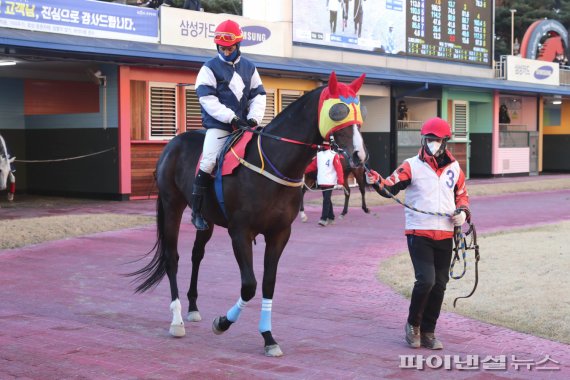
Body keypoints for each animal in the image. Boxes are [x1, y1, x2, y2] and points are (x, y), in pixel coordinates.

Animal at [129, 72, 366, 358]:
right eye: (338, 112)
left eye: (358, 112)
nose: (359, 155)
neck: (273, 163)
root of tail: (172, 143)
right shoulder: (240, 232)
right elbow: (249, 285)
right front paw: (222, 322)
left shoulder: (279, 233)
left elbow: (268, 283)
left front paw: (268, 337)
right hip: (172, 205)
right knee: (171, 258)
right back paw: (177, 320)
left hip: (206, 220)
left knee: (197, 255)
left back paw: (193, 307)